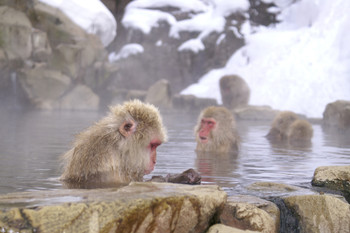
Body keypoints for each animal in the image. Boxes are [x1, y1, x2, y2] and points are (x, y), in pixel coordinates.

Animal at [61, 99, 201, 186]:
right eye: (153, 145)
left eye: (156, 145)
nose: (155, 161)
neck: (119, 149)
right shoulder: (109, 165)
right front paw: (183, 176)